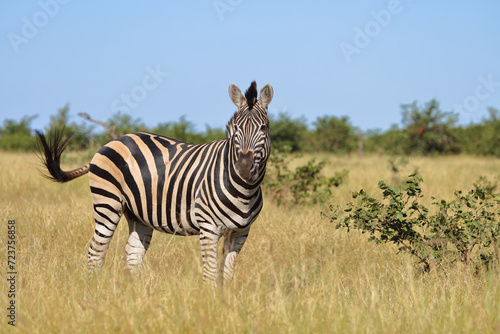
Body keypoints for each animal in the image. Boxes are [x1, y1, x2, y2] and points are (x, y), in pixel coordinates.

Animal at [35, 81, 274, 288]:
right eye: (236, 129)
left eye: (264, 128)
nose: (244, 168)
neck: (244, 191)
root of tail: (113, 141)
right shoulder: (208, 227)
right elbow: (211, 273)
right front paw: (211, 302)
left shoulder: (241, 232)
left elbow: (228, 274)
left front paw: (226, 301)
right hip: (107, 203)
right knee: (96, 252)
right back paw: (92, 290)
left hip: (138, 214)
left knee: (131, 258)